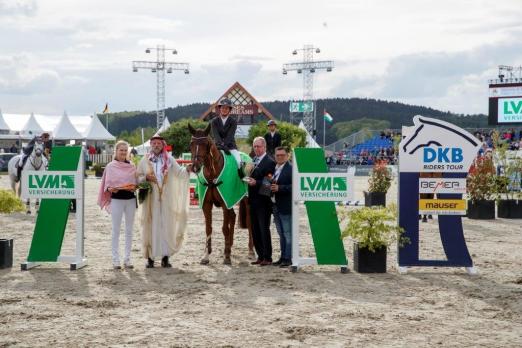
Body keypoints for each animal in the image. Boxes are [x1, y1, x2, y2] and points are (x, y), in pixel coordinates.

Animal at [188, 123, 253, 266]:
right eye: (191, 143)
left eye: (205, 144)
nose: (195, 167)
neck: (212, 172)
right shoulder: (207, 204)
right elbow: (208, 228)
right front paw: (206, 256)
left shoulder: (225, 202)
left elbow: (224, 228)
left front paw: (227, 256)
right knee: (233, 217)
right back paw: (230, 245)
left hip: (246, 200)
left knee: (249, 221)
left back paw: (251, 251)